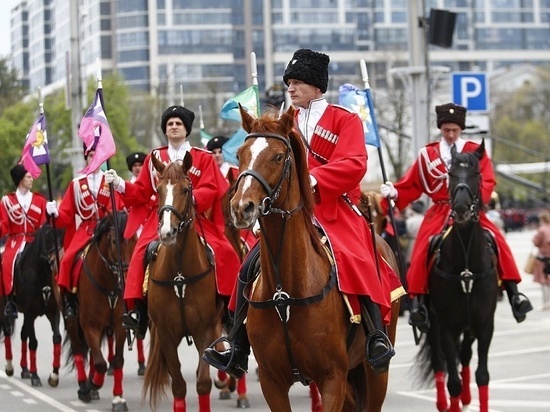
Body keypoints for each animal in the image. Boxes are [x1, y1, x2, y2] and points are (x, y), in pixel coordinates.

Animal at [12, 222, 64, 386]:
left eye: (63, 235)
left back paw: (24, 369)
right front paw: (35, 376)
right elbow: (33, 342)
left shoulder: (53, 312)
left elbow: (57, 338)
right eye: (48, 235)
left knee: (23, 334)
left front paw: (54, 374)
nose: (55, 261)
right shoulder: (30, 313)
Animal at [65, 211, 137, 410]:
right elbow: (100, 363)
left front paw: (118, 398)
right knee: (79, 350)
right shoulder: (90, 326)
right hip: (72, 321)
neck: (109, 283)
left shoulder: (120, 326)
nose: (127, 279)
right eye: (113, 241)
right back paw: (85, 386)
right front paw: (93, 384)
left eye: (135, 239)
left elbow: (117, 360)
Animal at [143, 154, 223, 412]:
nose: (168, 232)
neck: (180, 275)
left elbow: (203, 382)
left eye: (186, 190)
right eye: (158, 190)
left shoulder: (205, 330)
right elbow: (178, 386)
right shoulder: (166, 334)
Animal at [231, 104, 404, 410]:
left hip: (374, 373)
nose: (242, 208)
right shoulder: (272, 382)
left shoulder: (332, 378)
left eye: (278, 156)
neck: (285, 293)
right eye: (240, 154)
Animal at [416, 142, 502, 412]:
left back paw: (465, 397)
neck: (466, 270)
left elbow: (482, 375)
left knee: (464, 355)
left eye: (476, 174)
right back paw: (444, 402)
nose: (462, 208)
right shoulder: (446, 326)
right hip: (433, 323)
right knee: (439, 361)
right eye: (451, 175)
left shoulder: (485, 324)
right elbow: (451, 378)